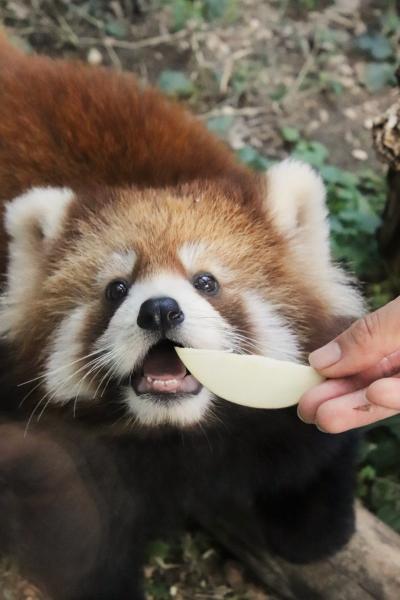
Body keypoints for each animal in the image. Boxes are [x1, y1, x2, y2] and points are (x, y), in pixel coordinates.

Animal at [0, 31, 364, 600]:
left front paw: (316, 527)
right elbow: (72, 529)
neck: (179, 435)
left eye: (206, 282)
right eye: (117, 289)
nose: (159, 310)